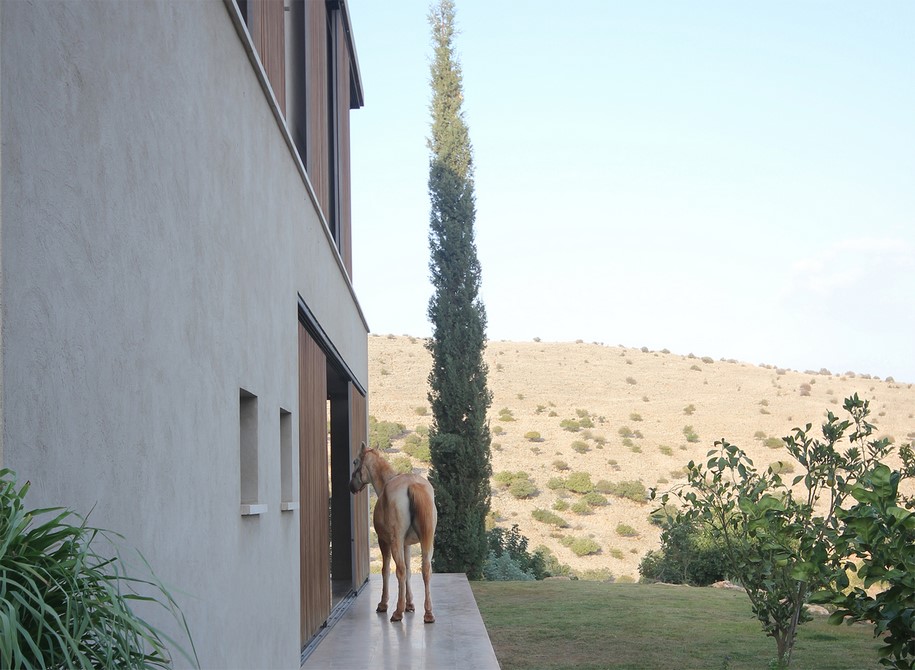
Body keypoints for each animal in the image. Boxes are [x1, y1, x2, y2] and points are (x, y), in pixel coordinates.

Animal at [348, 440, 438, 624]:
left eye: (355, 461)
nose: (351, 486)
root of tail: (412, 484)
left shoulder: (385, 542)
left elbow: (386, 570)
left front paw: (384, 603)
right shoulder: (407, 545)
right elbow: (410, 570)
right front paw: (410, 604)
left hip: (395, 542)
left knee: (400, 570)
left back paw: (397, 612)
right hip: (427, 542)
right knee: (425, 569)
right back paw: (428, 613)